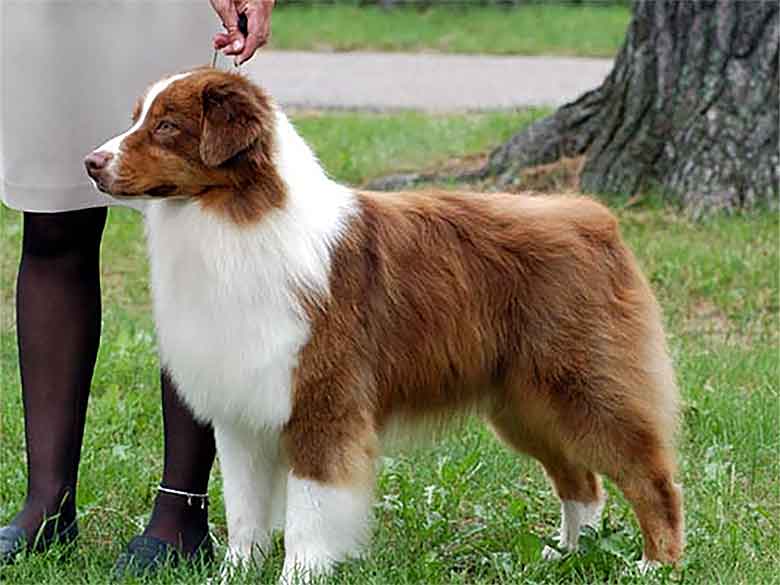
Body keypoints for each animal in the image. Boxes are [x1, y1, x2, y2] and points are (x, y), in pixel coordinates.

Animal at [85, 68, 684, 580]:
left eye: (166, 126)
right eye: (138, 117)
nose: (91, 161)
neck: (233, 216)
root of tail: (594, 217)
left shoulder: (323, 401)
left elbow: (309, 509)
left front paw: (302, 573)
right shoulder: (242, 408)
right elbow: (244, 511)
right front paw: (234, 574)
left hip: (583, 387)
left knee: (650, 475)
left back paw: (656, 565)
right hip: (524, 404)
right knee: (582, 481)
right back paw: (568, 555)